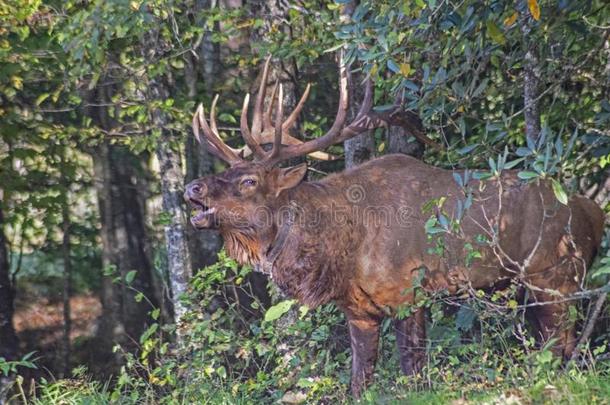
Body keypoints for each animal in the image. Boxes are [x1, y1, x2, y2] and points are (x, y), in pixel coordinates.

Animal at [183, 55, 600, 396]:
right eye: (229, 172)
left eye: (249, 180)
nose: (192, 187)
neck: (343, 251)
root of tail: (596, 213)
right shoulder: (358, 310)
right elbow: (359, 380)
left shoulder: (408, 293)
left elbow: (412, 371)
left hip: (555, 276)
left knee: (562, 345)